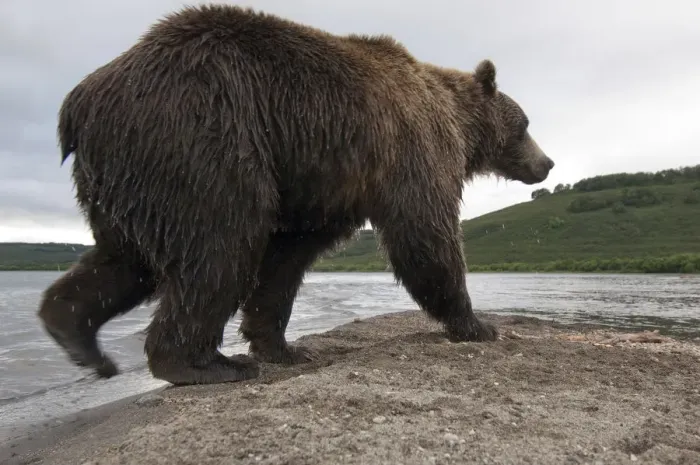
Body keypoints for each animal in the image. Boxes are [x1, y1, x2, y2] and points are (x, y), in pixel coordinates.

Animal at [38, 4, 554, 386]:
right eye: (526, 124)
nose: (547, 163)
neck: (458, 125)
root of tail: (80, 102)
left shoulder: (326, 181)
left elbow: (288, 256)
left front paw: (282, 346)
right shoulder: (409, 149)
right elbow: (425, 231)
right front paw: (477, 324)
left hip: (130, 174)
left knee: (126, 258)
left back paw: (75, 332)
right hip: (197, 133)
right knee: (220, 241)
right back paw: (205, 364)